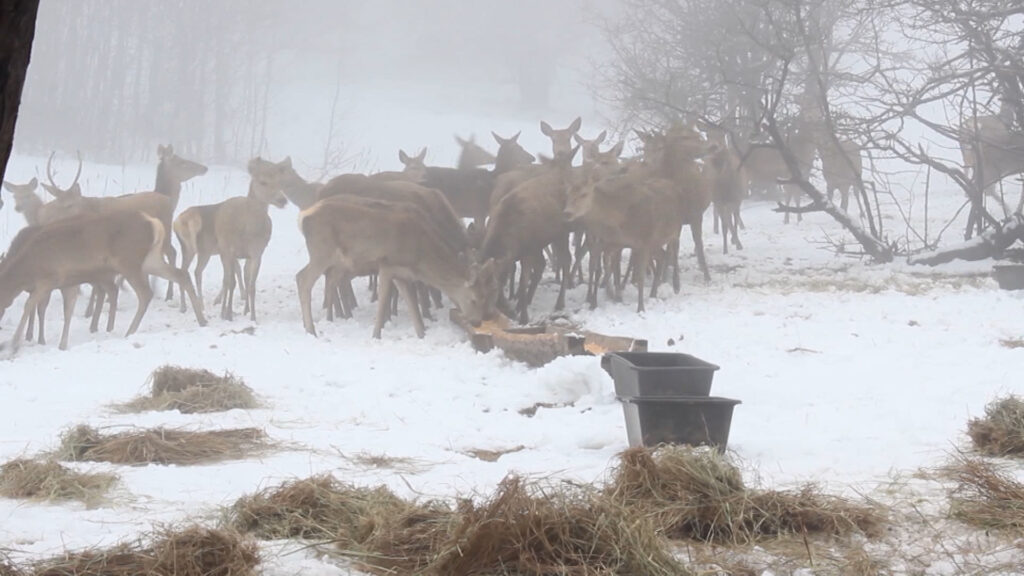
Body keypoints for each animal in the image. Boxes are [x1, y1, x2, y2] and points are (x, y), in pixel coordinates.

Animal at [0, 208, 207, 352]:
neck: (26, 268)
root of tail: (154, 223)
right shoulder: (67, 282)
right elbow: (67, 309)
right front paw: (62, 345)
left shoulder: (49, 278)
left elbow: (29, 305)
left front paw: (13, 345)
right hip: (150, 260)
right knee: (181, 275)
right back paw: (202, 320)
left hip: (129, 261)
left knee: (145, 293)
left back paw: (129, 332)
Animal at [294, 193, 497, 336]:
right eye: (474, 299)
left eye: (486, 295)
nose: (477, 322)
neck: (420, 256)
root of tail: (303, 217)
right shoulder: (387, 263)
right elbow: (384, 300)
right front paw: (376, 334)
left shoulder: (403, 272)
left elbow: (412, 303)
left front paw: (421, 333)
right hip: (322, 250)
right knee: (303, 278)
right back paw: (311, 329)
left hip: (334, 259)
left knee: (323, 279)